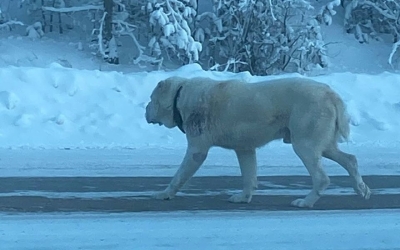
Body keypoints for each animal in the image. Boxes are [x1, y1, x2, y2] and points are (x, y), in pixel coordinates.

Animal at [145, 75, 372, 207]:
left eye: (151, 99)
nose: (145, 110)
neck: (180, 96)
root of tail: (330, 93)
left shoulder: (197, 149)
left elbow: (180, 175)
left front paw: (164, 193)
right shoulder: (244, 148)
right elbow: (249, 175)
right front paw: (243, 197)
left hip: (304, 143)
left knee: (322, 177)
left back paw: (305, 202)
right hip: (322, 143)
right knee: (350, 159)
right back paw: (362, 189)